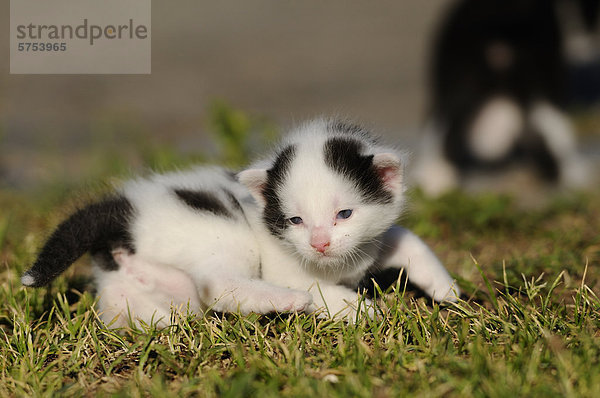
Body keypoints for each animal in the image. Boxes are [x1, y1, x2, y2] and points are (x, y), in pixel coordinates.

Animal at [21, 119, 458, 326]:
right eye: (295, 220)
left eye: (344, 214)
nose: (319, 243)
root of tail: (126, 208)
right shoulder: (287, 267)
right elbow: (320, 291)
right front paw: (364, 311)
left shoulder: (369, 241)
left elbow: (407, 238)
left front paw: (447, 289)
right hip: (223, 232)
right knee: (216, 286)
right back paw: (286, 301)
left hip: (133, 287)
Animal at [412, 0, 596, 196]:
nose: (584, 42)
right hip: (541, 89)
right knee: (554, 144)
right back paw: (573, 178)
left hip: (456, 88)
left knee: (441, 134)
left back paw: (433, 181)